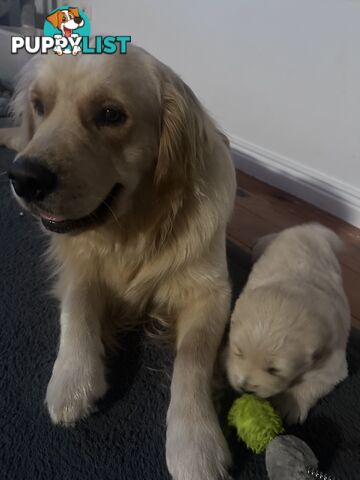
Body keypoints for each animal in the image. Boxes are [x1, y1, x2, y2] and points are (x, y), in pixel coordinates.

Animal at [226, 224, 350, 424]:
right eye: (239, 352)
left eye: (274, 370)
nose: (244, 387)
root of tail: (310, 228)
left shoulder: (333, 356)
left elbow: (317, 380)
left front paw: (290, 404)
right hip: (269, 242)